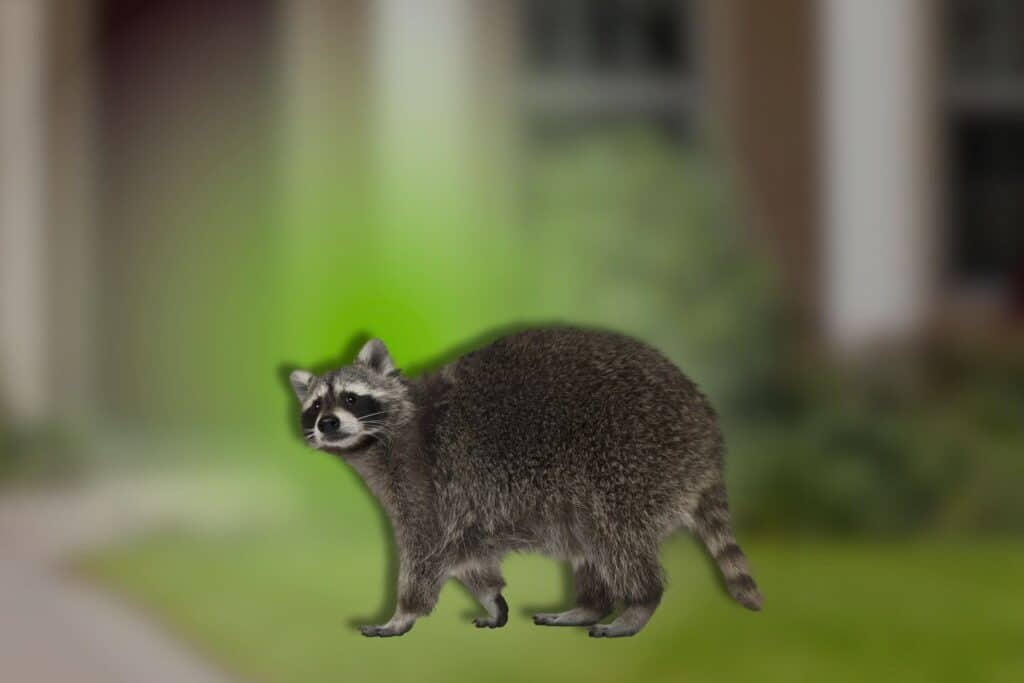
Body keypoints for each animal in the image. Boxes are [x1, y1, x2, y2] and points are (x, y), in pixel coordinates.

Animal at [289, 327, 761, 638]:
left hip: (635, 457)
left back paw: (638, 602)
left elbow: (427, 550)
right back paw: (590, 605)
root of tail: (707, 433)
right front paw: (491, 598)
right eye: (315, 407)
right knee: (592, 540)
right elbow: (468, 555)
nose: (328, 424)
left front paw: (403, 613)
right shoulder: (458, 504)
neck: (379, 440)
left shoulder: (424, 480)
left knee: (617, 534)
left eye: (351, 397)